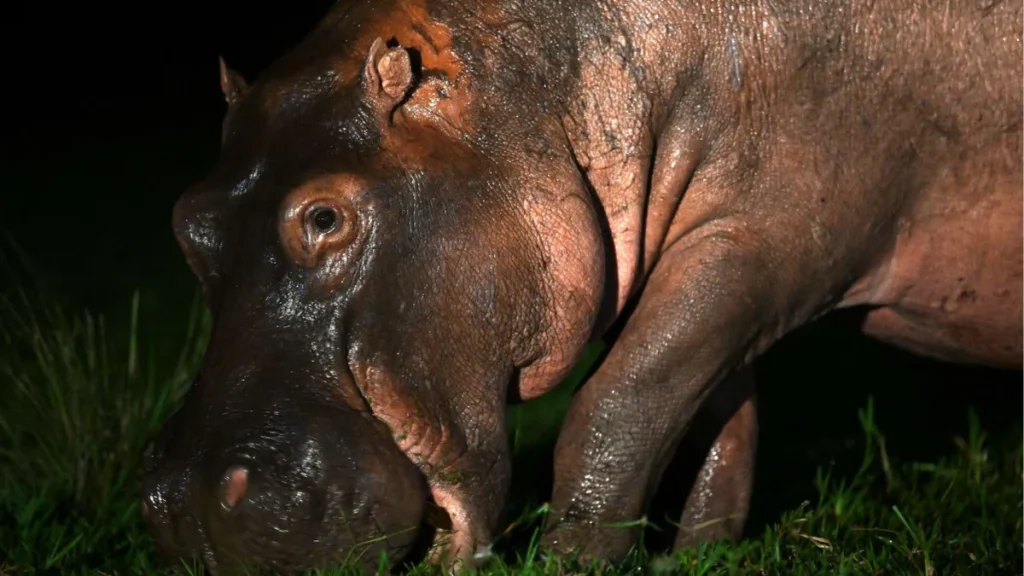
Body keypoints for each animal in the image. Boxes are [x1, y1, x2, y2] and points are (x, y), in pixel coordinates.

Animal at [141, 0, 1023, 572]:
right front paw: (695, 556)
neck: (534, 85)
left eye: (324, 216)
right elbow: (714, 417)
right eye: (186, 222)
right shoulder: (713, 261)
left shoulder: (758, 241)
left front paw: (575, 561)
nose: (184, 502)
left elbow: (619, 404)